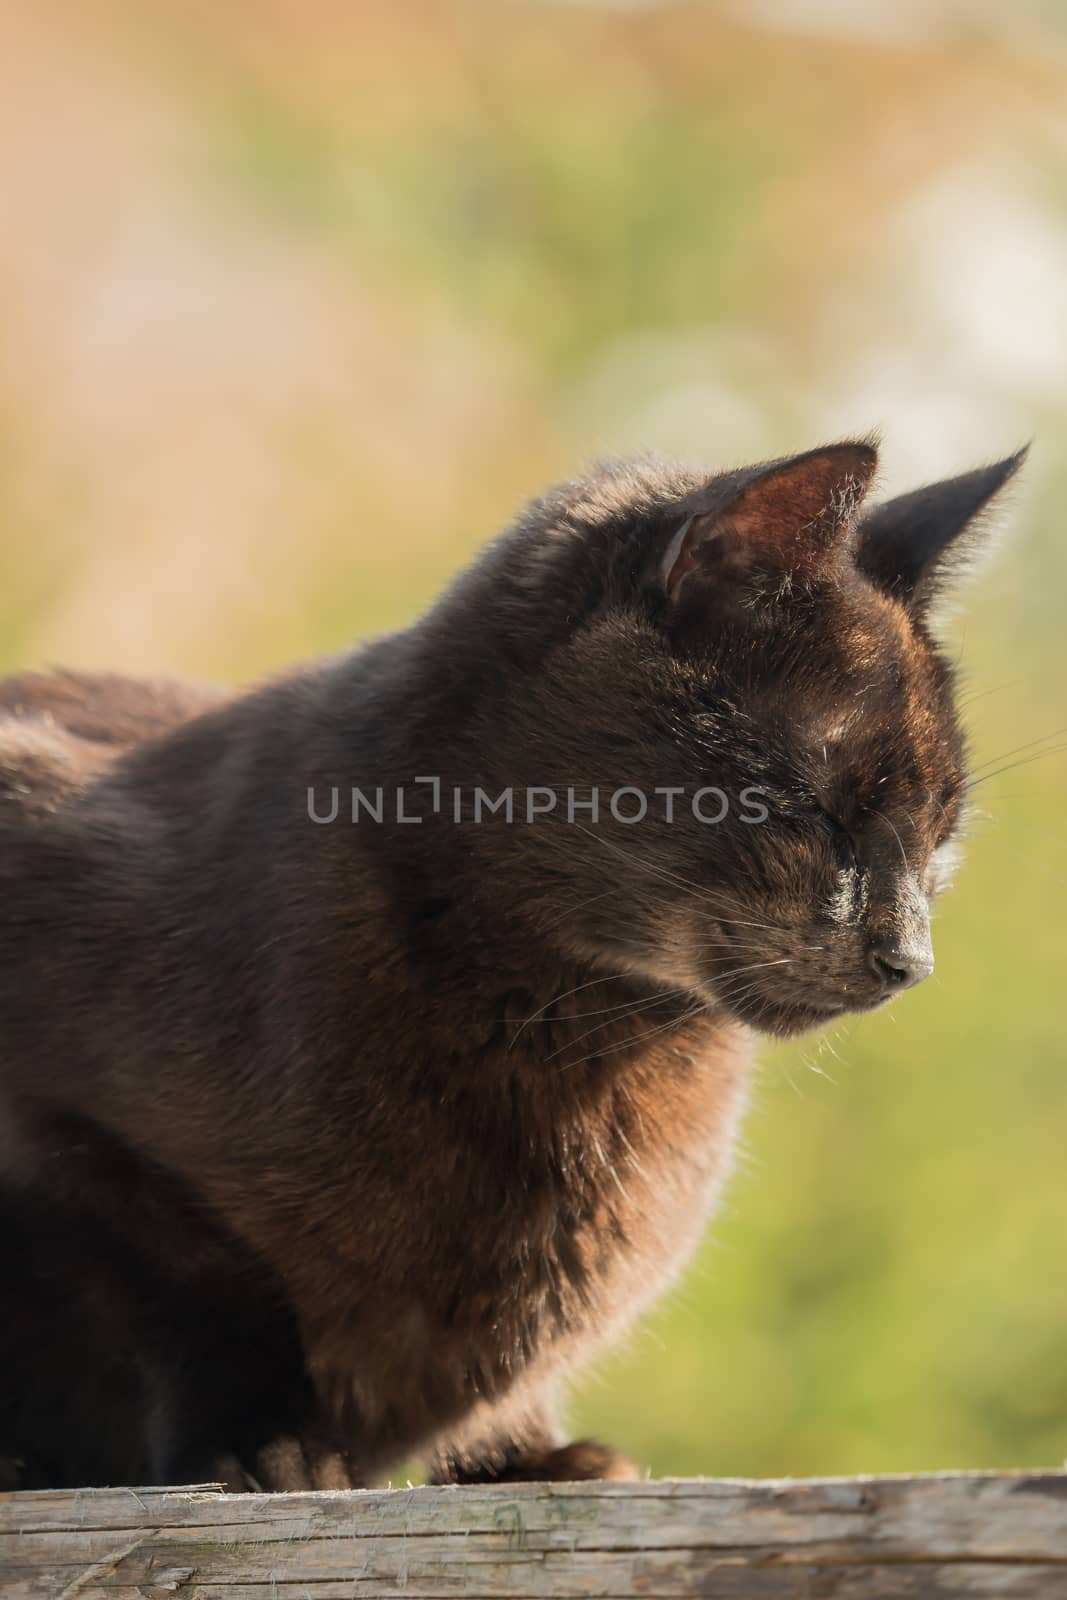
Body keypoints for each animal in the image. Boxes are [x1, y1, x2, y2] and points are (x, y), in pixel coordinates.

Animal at [0, 438, 1023, 1484]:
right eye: (821, 807)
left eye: (940, 835)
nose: (910, 959)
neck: (581, 1043)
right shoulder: (75, 1143)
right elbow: (195, 1302)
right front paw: (267, 1448)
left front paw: (539, 1460)